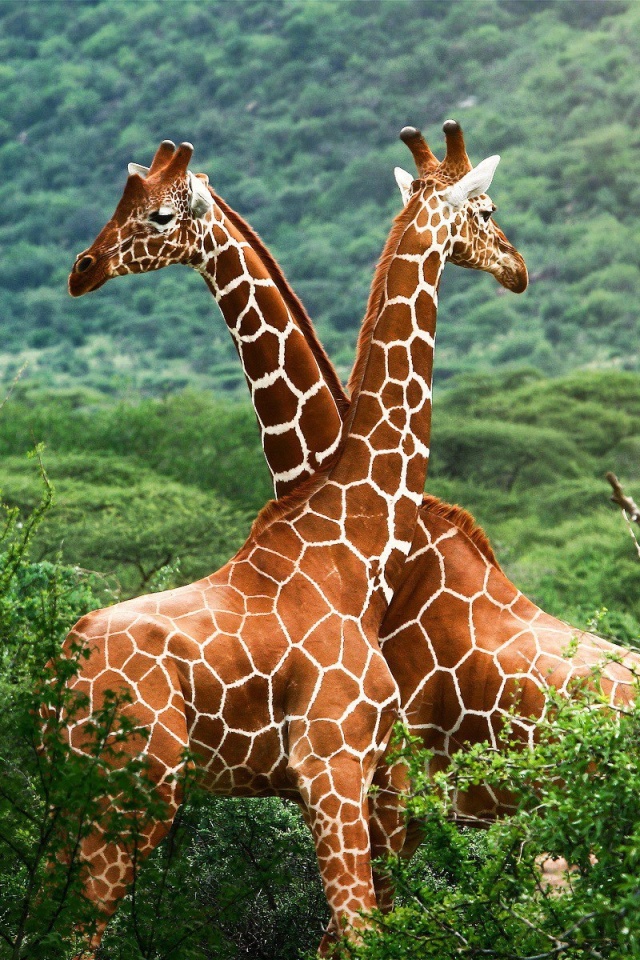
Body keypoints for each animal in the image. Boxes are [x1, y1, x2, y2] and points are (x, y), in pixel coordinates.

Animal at [63, 122, 524, 952]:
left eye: (156, 214)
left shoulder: (364, 777)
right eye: (488, 208)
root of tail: (60, 672)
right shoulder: (335, 766)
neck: (352, 538)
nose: (82, 269)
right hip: (130, 792)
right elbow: (361, 934)